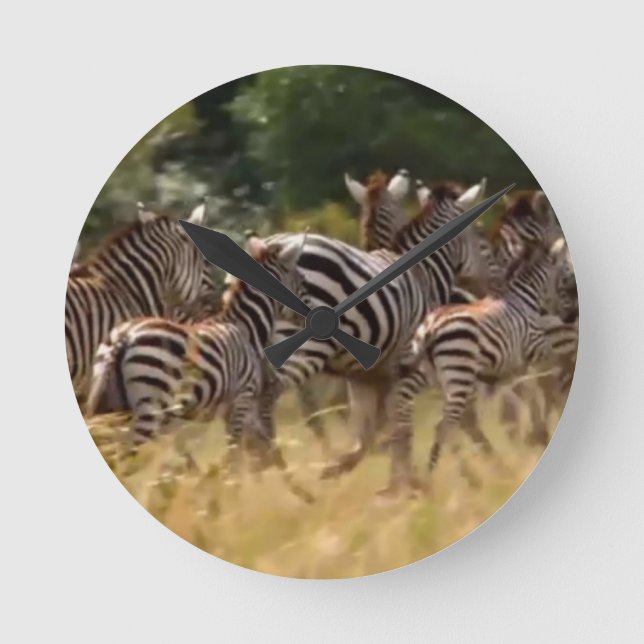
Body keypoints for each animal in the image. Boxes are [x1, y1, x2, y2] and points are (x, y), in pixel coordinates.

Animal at [85, 233, 309, 475]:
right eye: (302, 281)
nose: (308, 315)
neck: (245, 328)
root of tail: (124, 336)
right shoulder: (242, 399)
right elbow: (235, 454)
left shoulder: (237, 408)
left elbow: (251, 449)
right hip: (149, 408)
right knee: (128, 460)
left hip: (113, 405)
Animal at [410, 237, 574, 471]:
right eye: (565, 278)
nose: (570, 317)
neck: (523, 300)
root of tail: (431, 327)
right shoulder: (537, 350)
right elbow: (548, 384)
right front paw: (538, 431)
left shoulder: (508, 368)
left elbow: (522, 394)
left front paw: (530, 435)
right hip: (459, 375)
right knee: (446, 425)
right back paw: (438, 475)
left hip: (439, 378)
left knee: (452, 424)